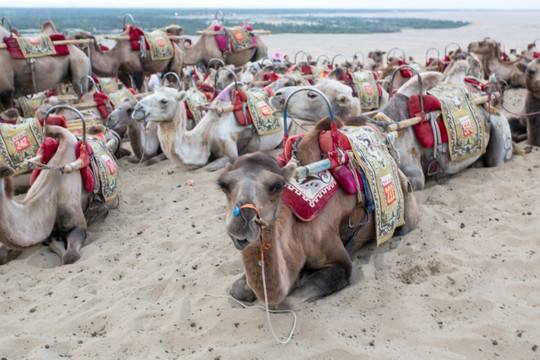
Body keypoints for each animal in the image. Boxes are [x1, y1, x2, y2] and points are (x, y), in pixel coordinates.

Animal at [217, 116, 420, 306]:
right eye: (222, 184)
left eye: (277, 186)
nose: (241, 222)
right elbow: (236, 289)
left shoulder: (339, 262)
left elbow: (288, 302)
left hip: (406, 204)